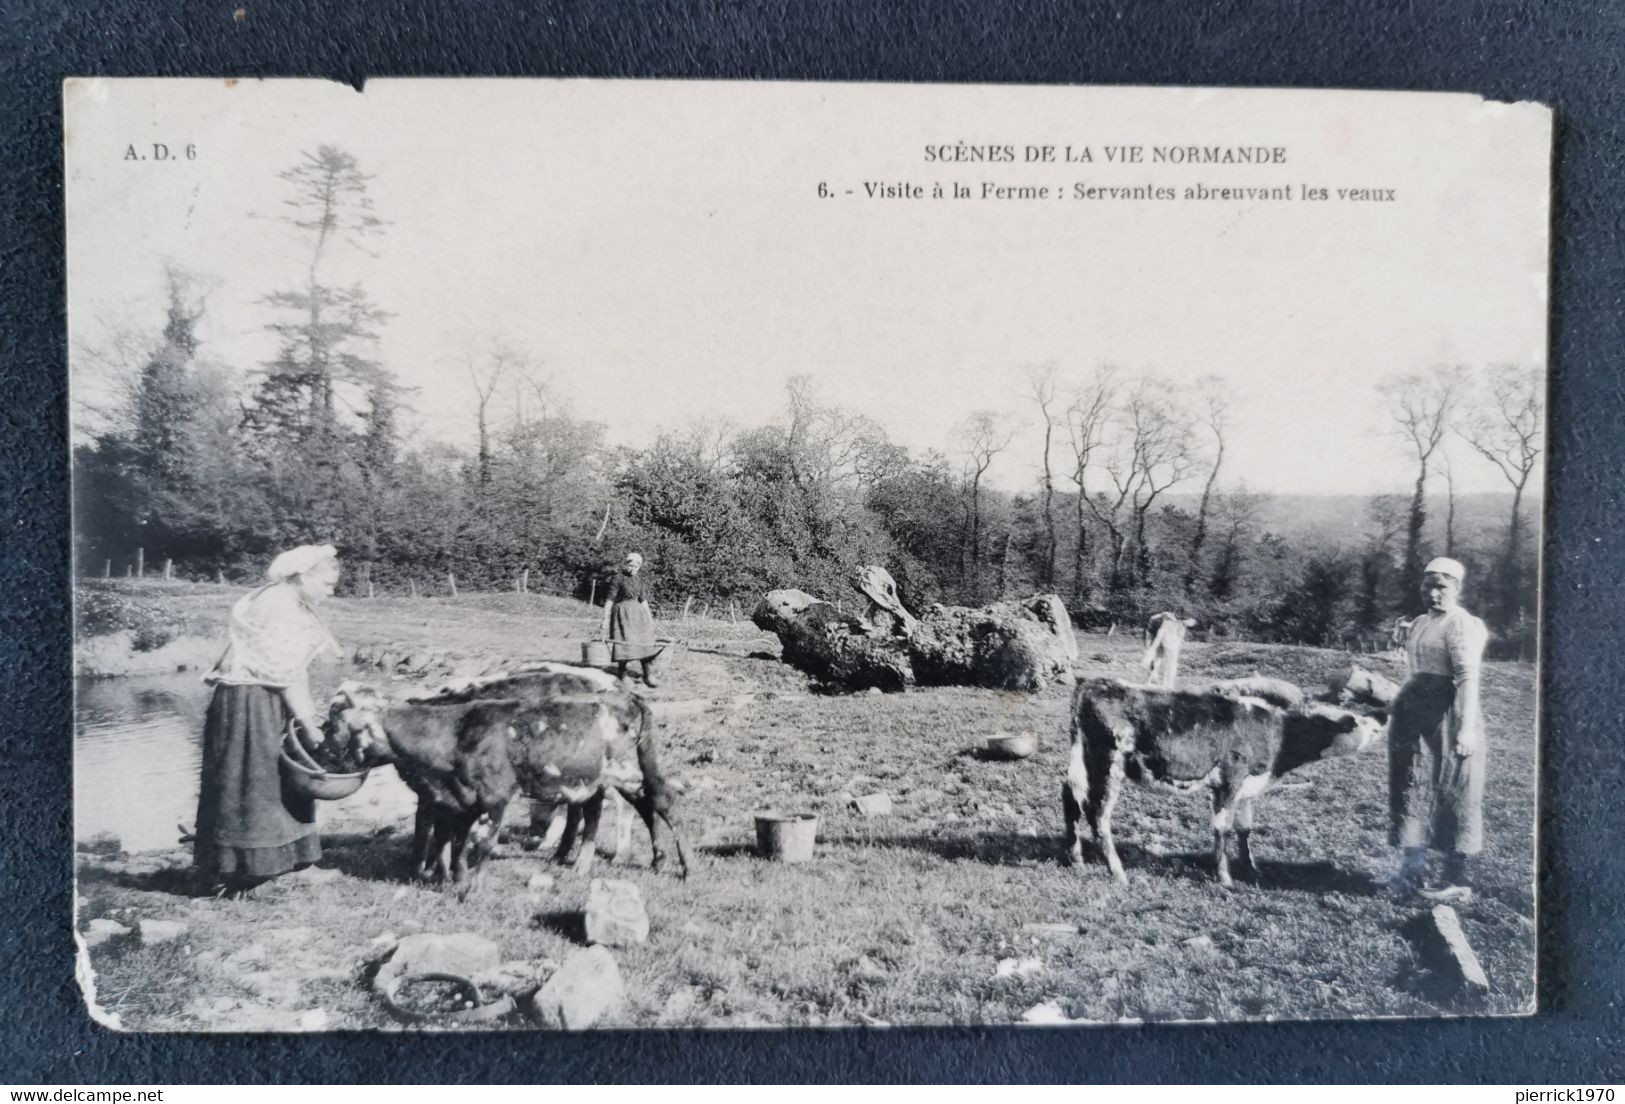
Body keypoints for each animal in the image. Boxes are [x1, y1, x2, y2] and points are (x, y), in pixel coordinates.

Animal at [1066, 679, 1384, 884]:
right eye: (1354, 720)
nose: (1379, 723)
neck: (1277, 733)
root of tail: (1094, 684)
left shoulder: (1247, 787)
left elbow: (1244, 829)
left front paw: (1252, 868)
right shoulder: (1229, 780)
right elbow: (1222, 828)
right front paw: (1225, 877)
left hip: (1081, 763)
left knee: (1071, 800)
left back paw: (1076, 857)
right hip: (1107, 766)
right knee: (1098, 815)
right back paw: (1117, 872)